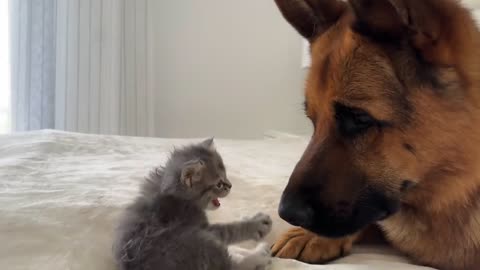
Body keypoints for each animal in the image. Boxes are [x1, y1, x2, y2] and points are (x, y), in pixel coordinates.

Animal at [111, 139, 270, 270]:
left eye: (226, 175)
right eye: (219, 184)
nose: (230, 185)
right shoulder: (203, 228)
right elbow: (230, 230)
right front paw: (257, 223)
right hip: (203, 244)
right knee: (233, 266)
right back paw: (260, 254)